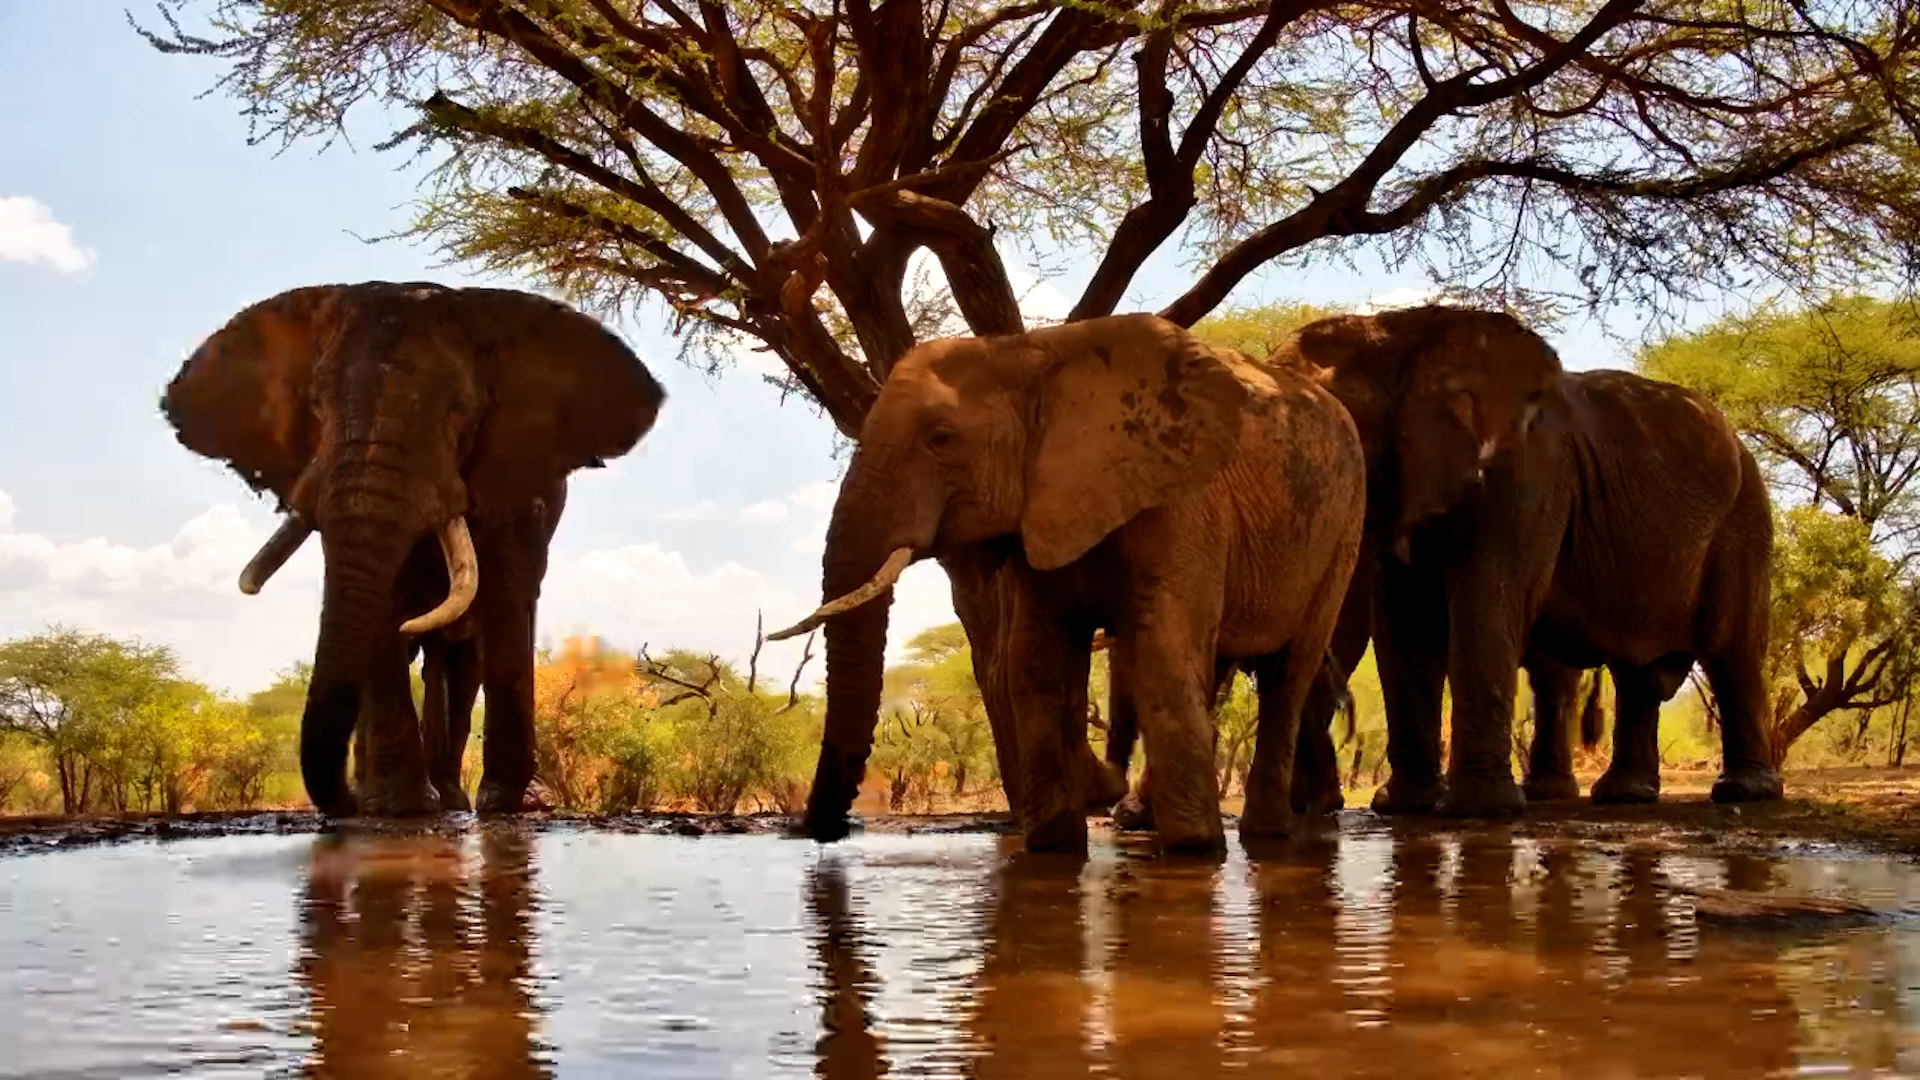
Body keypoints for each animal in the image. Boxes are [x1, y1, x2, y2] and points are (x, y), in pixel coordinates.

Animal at [162, 280, 664, 817]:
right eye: (316, 406)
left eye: (459, 410)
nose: (342, 805)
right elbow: (384, 606)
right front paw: (398, 805)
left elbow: (508, 595)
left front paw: (504, 804)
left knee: (462, 665)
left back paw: (452, 797)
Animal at [768, 312, 1366, 853]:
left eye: (942, 438)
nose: (825, 833)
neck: (1030, 356)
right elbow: (1035, 663)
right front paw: (1055, 845)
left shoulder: (1181, 500)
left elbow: (1159, 654)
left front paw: (1195, 849)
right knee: (1216, 668)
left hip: (1343, 530)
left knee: (1287, 673)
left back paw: (1262, 836)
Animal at [1268, 309, 1780, 816]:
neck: (1398, 337)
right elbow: (1404, 627)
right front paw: (1404, 807)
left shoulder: (1526, 475)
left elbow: (1485, 606)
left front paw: (1477, 809)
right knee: (1637, 674)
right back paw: (1622, 796)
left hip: (1744, 520)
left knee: (1731, 652)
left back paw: (1743, 792)